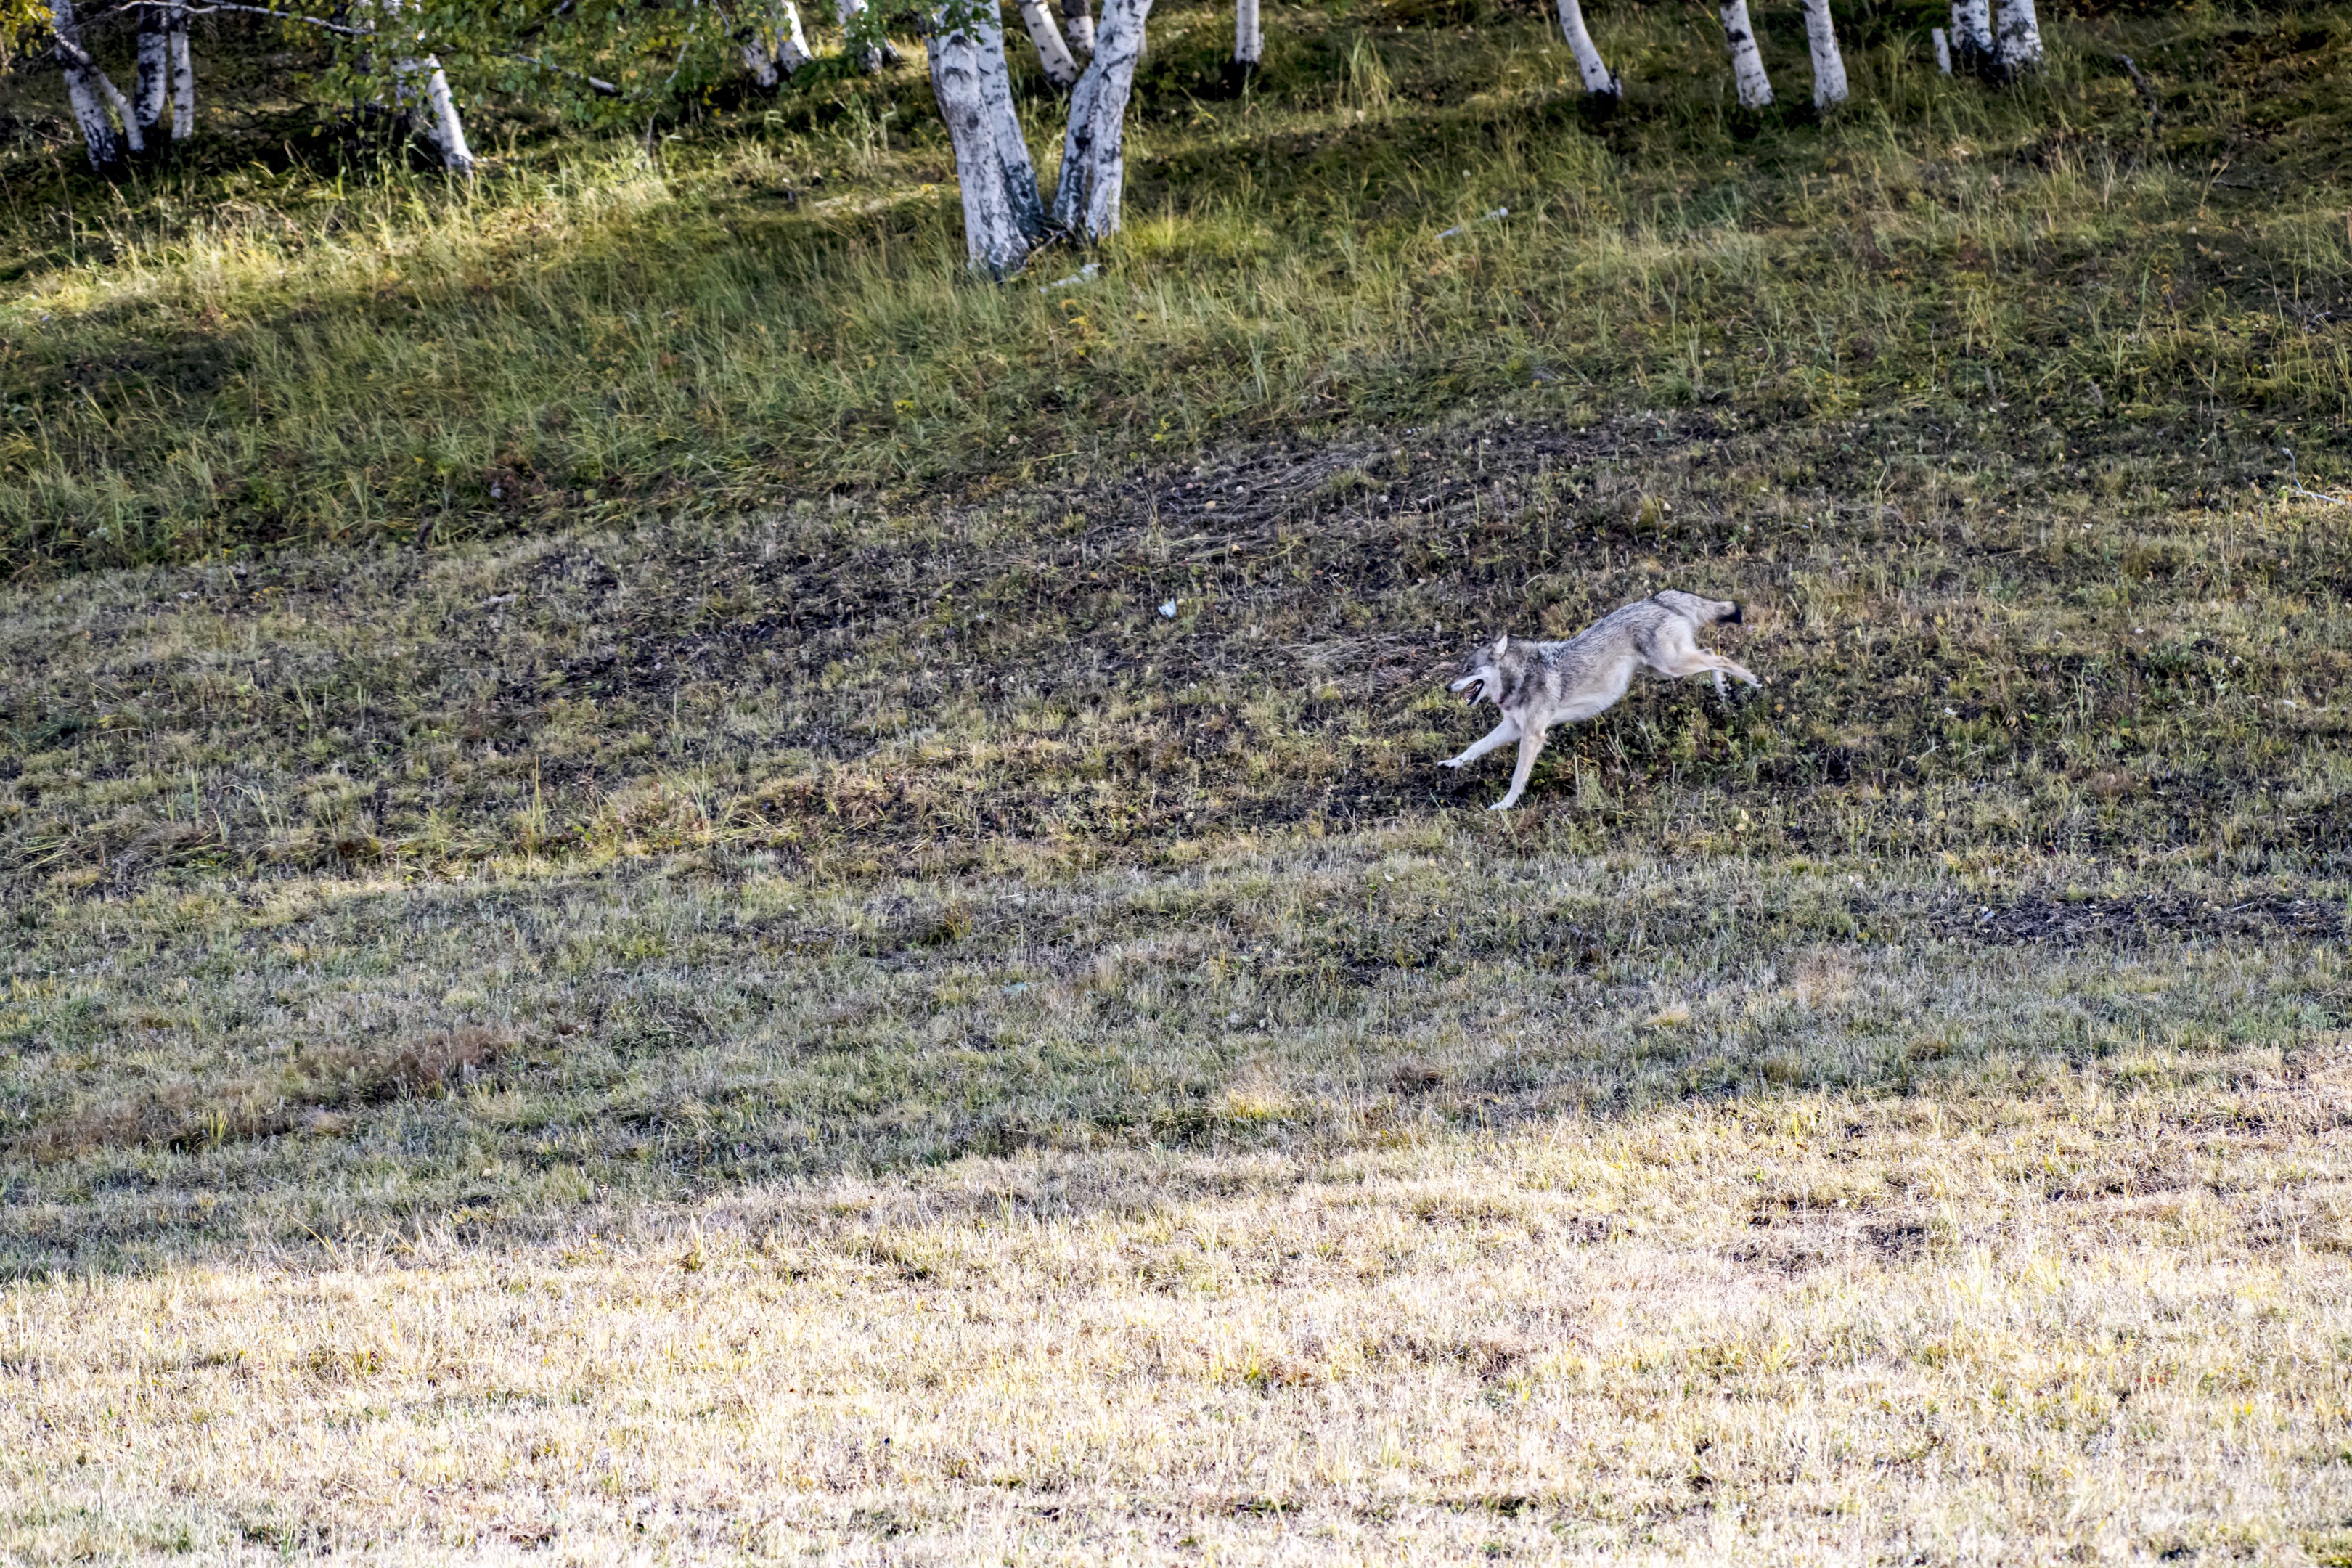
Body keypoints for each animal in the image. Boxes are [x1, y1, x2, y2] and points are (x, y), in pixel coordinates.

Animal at [1439, 587, 1759, 809]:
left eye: (1468, 669)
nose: (1447, 688)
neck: (1522, 675)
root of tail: (1656, 598)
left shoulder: (1532, 735)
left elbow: (1518, 777)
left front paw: (1505, 805)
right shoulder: (1513, 728)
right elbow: (1475, 747)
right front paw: (1452, 763)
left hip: (1672, 667)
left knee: (1719, 657)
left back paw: (1752, 683)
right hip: (1664, 671)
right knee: (1711, 653)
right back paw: (1724, 691)